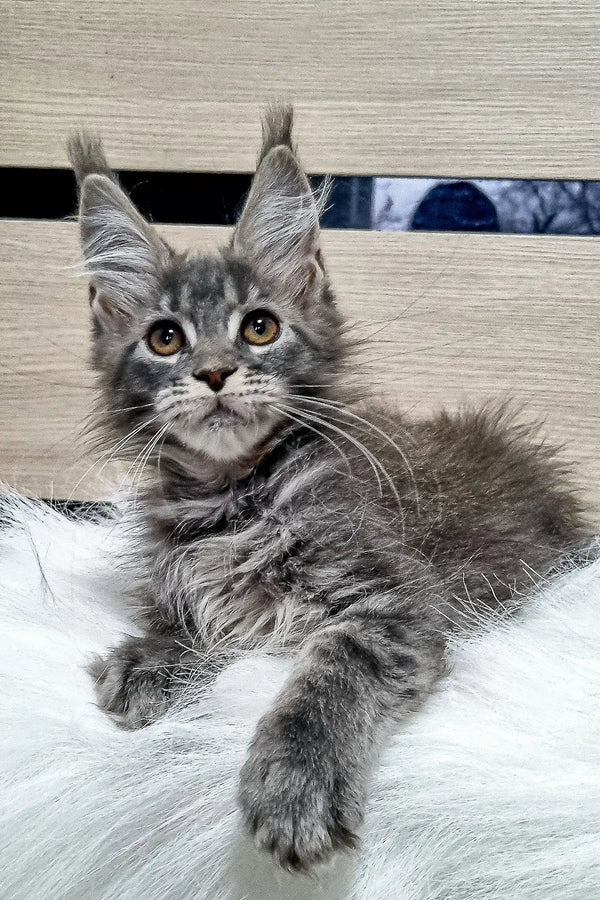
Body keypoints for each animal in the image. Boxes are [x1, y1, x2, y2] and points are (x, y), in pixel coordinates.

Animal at [68, 107, 584, 872]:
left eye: (259, 327)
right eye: (165, 339)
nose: (215, 372)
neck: (233, 496)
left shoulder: (396, 599)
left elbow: (331, 670)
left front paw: (296, 782)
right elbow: (189, 618)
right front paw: (152, 657)